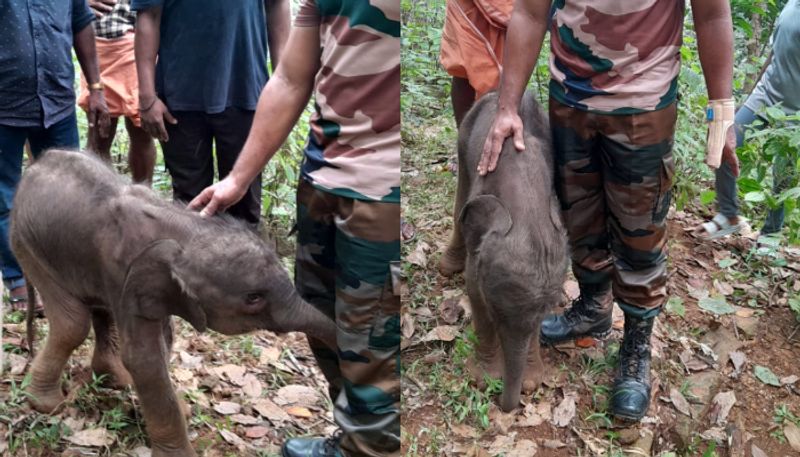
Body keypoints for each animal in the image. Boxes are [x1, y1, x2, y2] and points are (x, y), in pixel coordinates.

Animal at [12, 148, 338, 454]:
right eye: (253, 298)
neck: (184, 227)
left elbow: (164, 339)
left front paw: (178, 408)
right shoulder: (127, 272)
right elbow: (144, 359)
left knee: (98, 309)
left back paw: (115, 379)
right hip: (27, 245)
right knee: (72, 323)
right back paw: (47, 404)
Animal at [438, 91, 568, 412]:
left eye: (547, 312)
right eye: (496, 313)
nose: (505, 406)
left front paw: (531, 382)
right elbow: (474, 290)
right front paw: (484, 380)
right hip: (465, 138)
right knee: (460, 199)